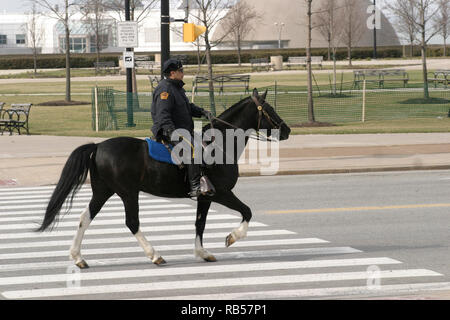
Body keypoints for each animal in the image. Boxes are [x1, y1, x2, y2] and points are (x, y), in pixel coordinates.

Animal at [36, 89, 292, 268]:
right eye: (269, 108)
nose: (287, 129)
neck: (219, 144)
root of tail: (98, 146)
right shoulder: (221, 193)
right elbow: (246, 211)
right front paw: (232, 237)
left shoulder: (205, 197)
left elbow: (200, 223)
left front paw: (202, 252)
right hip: (128, 193)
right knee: (132, 222)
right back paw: (155, 255)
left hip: (103, 191)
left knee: (85, 218)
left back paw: (78, 257)